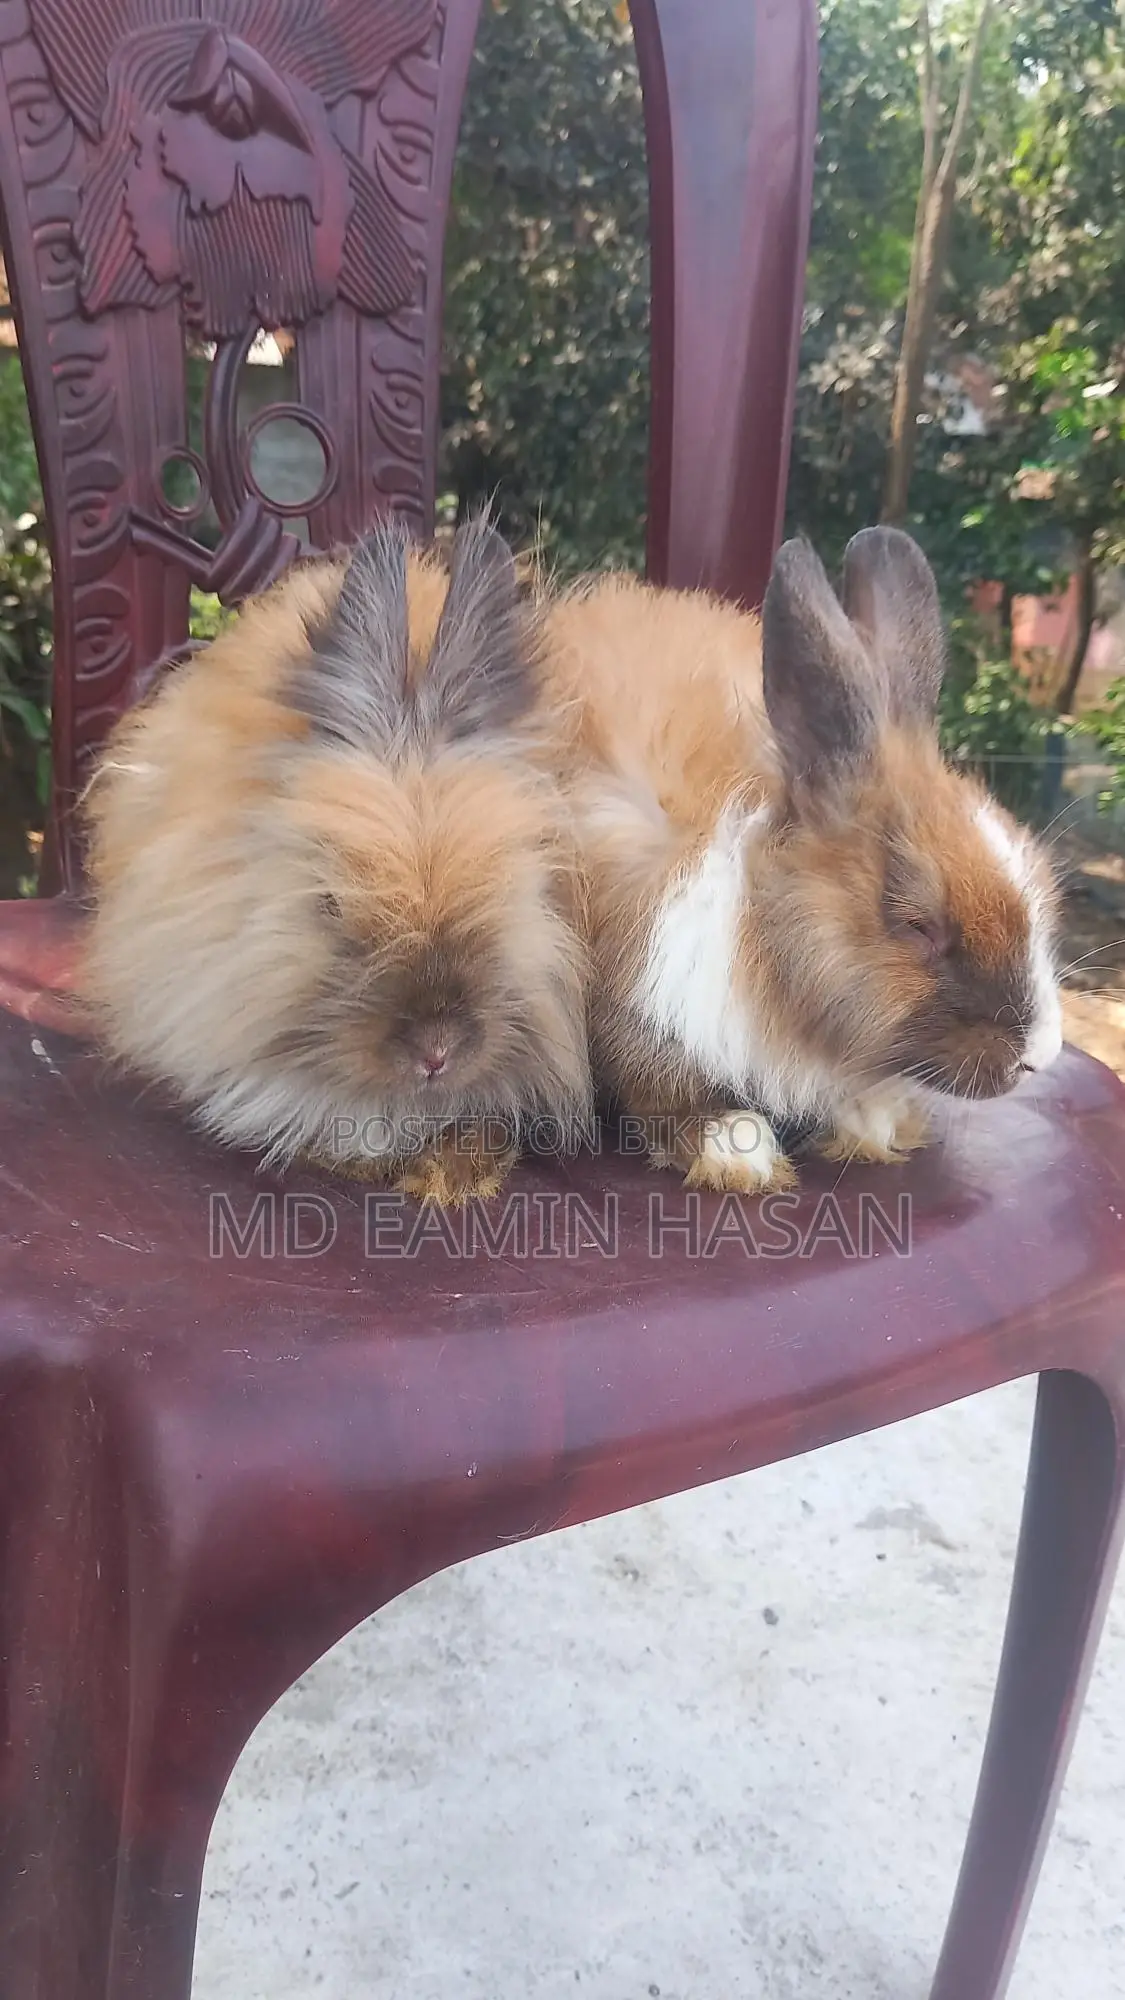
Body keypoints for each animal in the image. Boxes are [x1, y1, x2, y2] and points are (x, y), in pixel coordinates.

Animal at [539, 525, 1063, 1192]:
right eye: (919, 926)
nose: (1041, 1055)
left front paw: (872, 1121)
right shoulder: (636, 998)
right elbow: (660, 1087)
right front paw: (735, 1147)